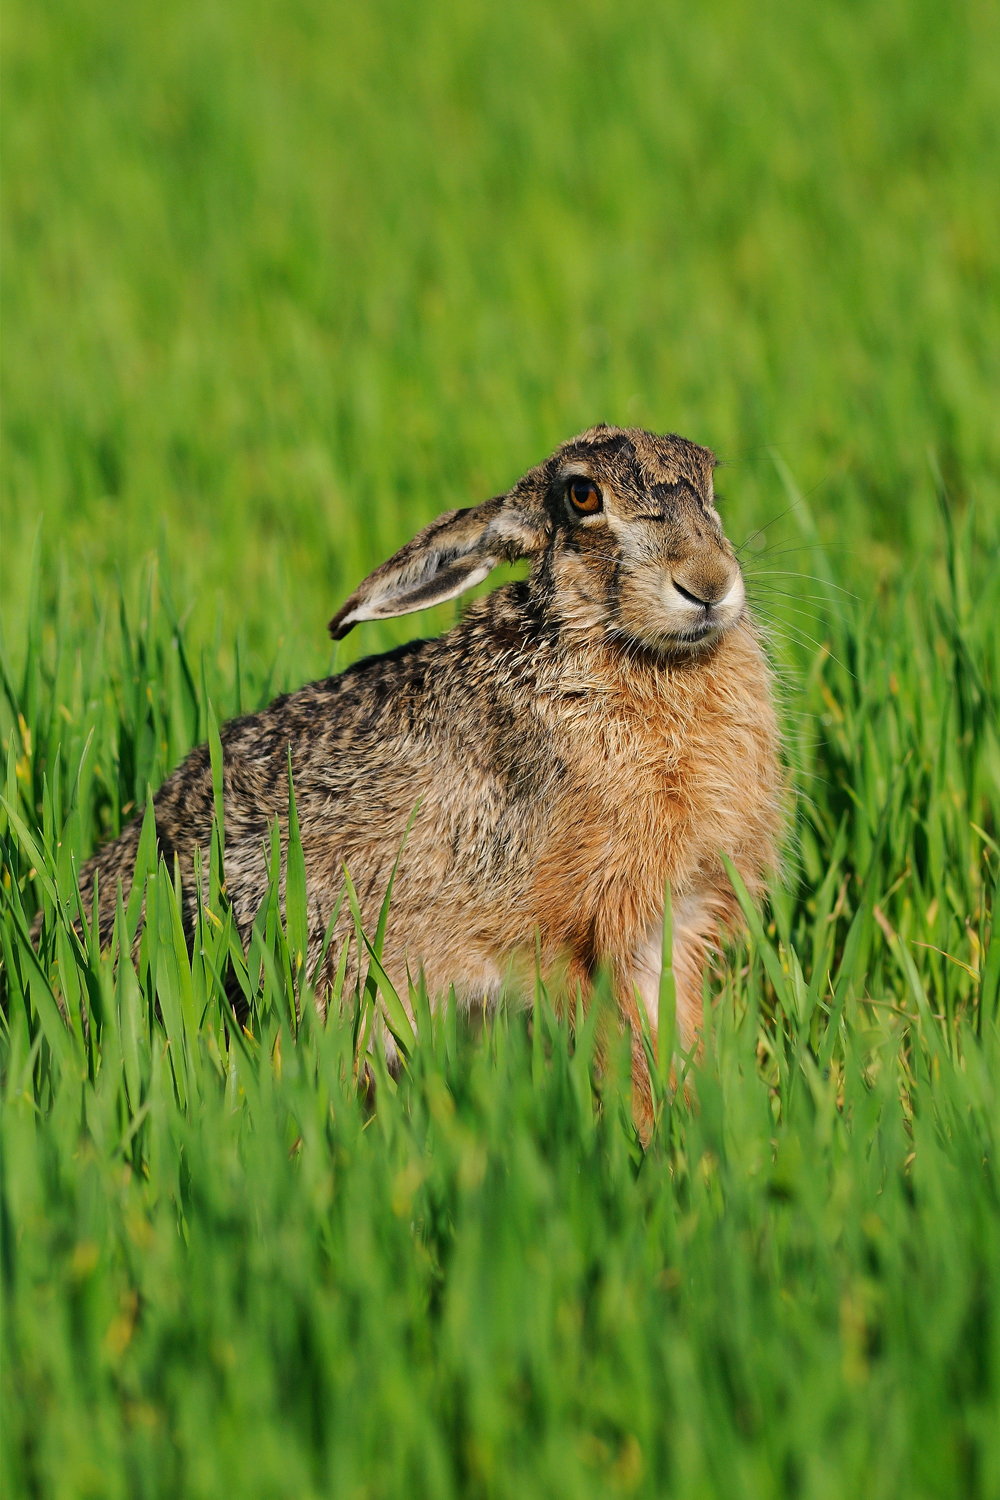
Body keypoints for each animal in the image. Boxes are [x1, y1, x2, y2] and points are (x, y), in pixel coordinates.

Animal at [62, 425, 781, 1137]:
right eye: (582, 495)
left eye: (708, 477)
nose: (708, 584)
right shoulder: (569, 939)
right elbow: (618, 1047)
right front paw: (650, 1136)